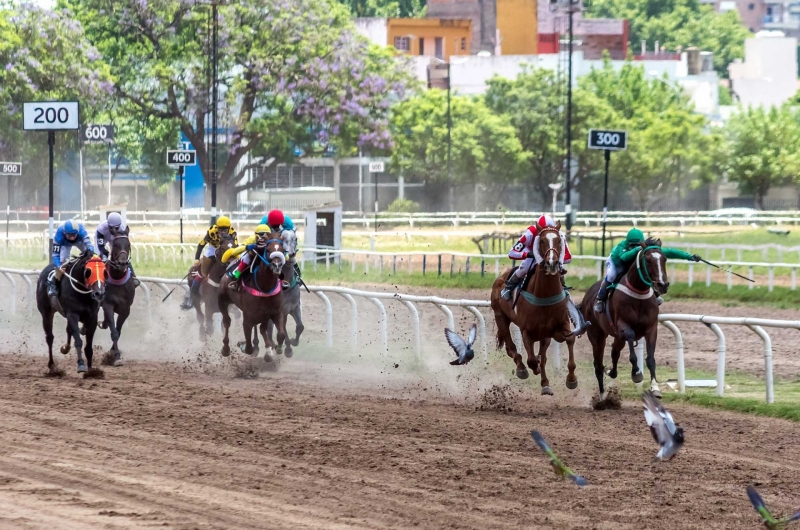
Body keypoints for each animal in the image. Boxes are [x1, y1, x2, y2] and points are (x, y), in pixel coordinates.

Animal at [100, 229, 136, 366]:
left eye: (128, 244)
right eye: (115, 244)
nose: (122, 263)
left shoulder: (126, 309)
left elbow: (118, 330)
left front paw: (113, 353)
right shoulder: (108, 305)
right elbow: (114, 332)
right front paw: (116, 357)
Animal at [490, 222, 580, 392]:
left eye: (559, 241)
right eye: (542, 241)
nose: (552, 263)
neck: (544, 296)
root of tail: (501, 278)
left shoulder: (560, 325)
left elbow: (569, 340)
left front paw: (571, 379)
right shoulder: (527, 331)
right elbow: (532, 360)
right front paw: (531, 367)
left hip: (543, 334)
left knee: (541, 355)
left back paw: (545, 384)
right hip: (500, 316)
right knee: (511, 348)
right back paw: (522, 369)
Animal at [580, 237, 668, 398]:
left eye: (664, 258)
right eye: (648, 259)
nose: (663, 285)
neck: (638, 294)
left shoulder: (651, 328)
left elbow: (650, 359)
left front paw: (655, 387)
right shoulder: (624, 327)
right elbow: (632, 351)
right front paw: (636, 374)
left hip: (616, 337)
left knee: (615, 352)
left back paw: (611, 372)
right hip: (596, 335)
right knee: (598, 365)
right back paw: (602, 395)